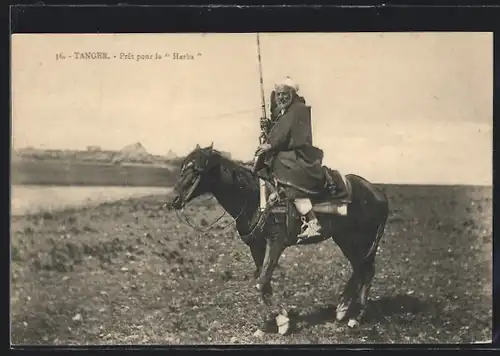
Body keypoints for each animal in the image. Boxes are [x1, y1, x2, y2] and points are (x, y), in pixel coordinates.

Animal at [170, 143, 388, 336]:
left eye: (196, 170)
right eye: (182, 167)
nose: (175, 200)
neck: (253, 197)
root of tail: (377, 192)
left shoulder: (275, 243)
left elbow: (262, 281)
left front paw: (283, 323)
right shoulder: (256, 246)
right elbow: (263, 281)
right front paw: (274, 322)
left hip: (361, 238)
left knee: (366, 270)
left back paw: (356, 317)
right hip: (345, 238)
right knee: (359, 268)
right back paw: (342, 309)